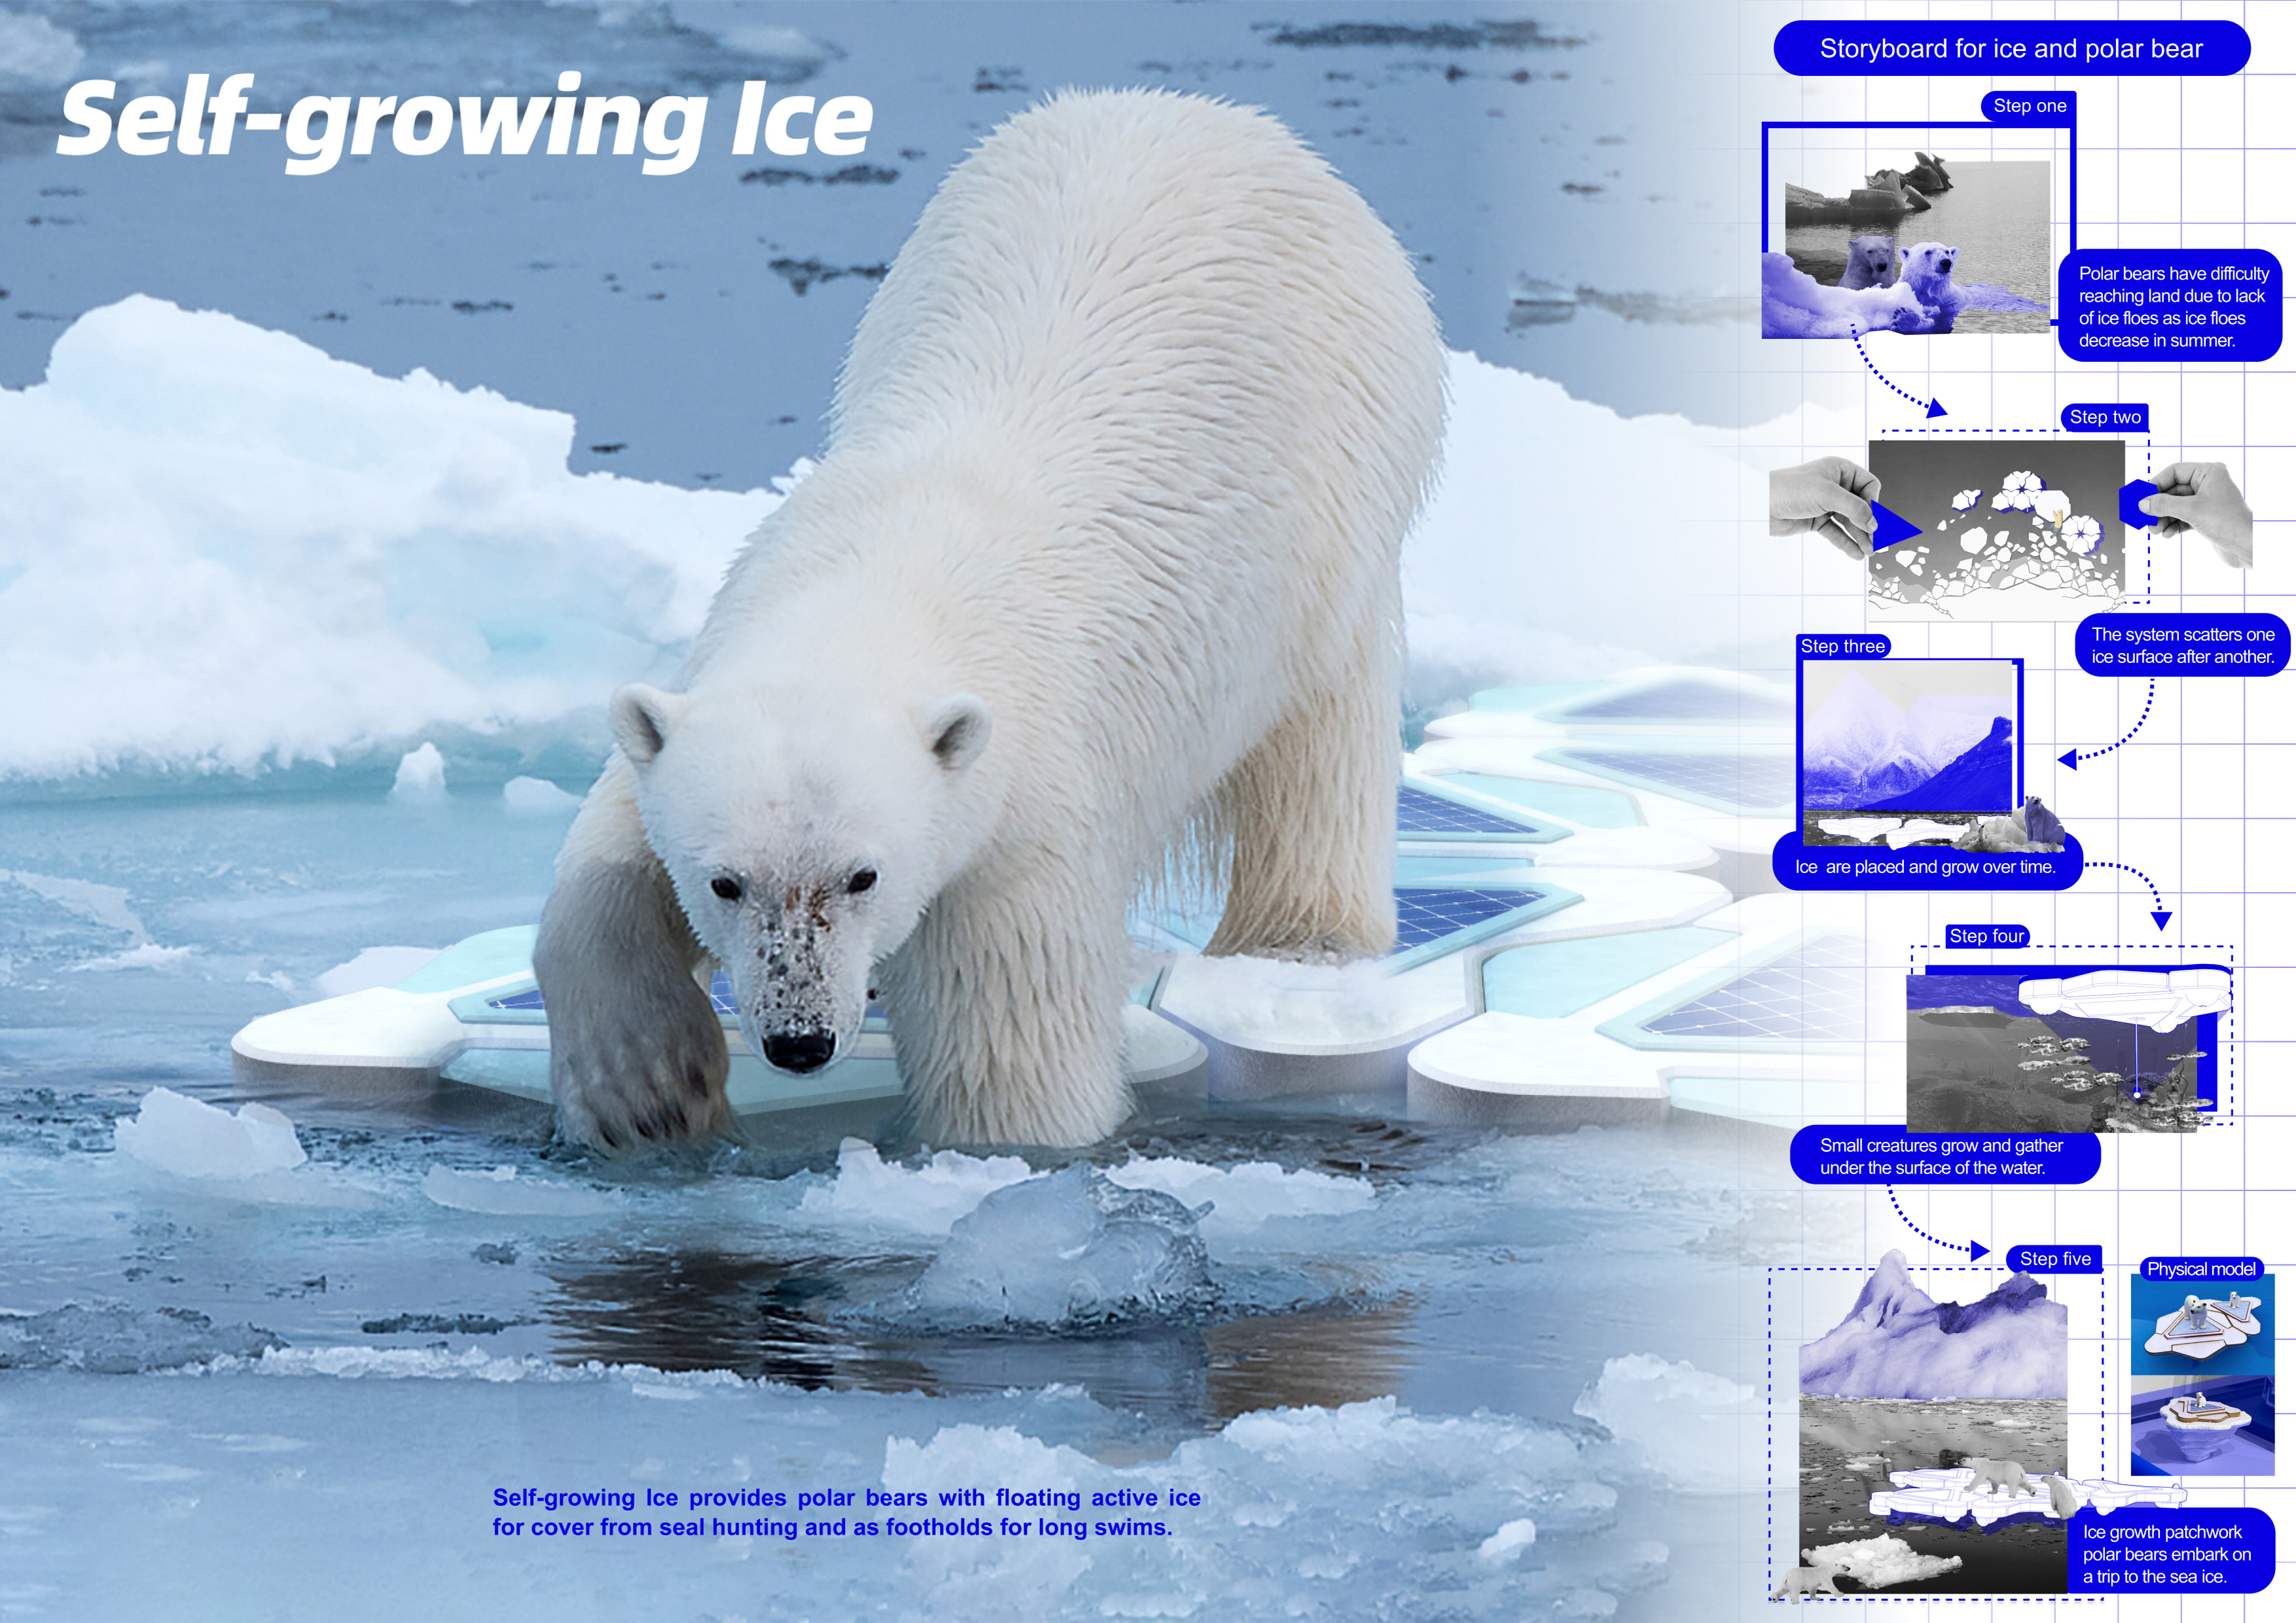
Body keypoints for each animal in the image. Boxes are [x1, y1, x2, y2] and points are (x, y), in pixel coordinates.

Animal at [534, 89, 1447, 1152]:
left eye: (863, 875)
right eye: (725, 881)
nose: (799, 1040)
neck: (880, 586)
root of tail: (1200, 112)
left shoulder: (1020, 821)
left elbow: (1014, 1068)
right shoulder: (714, 656)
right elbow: (605, 856)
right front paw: (645, 1087)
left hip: (1339, 497)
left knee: (1319, 745)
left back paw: (1301, 945)